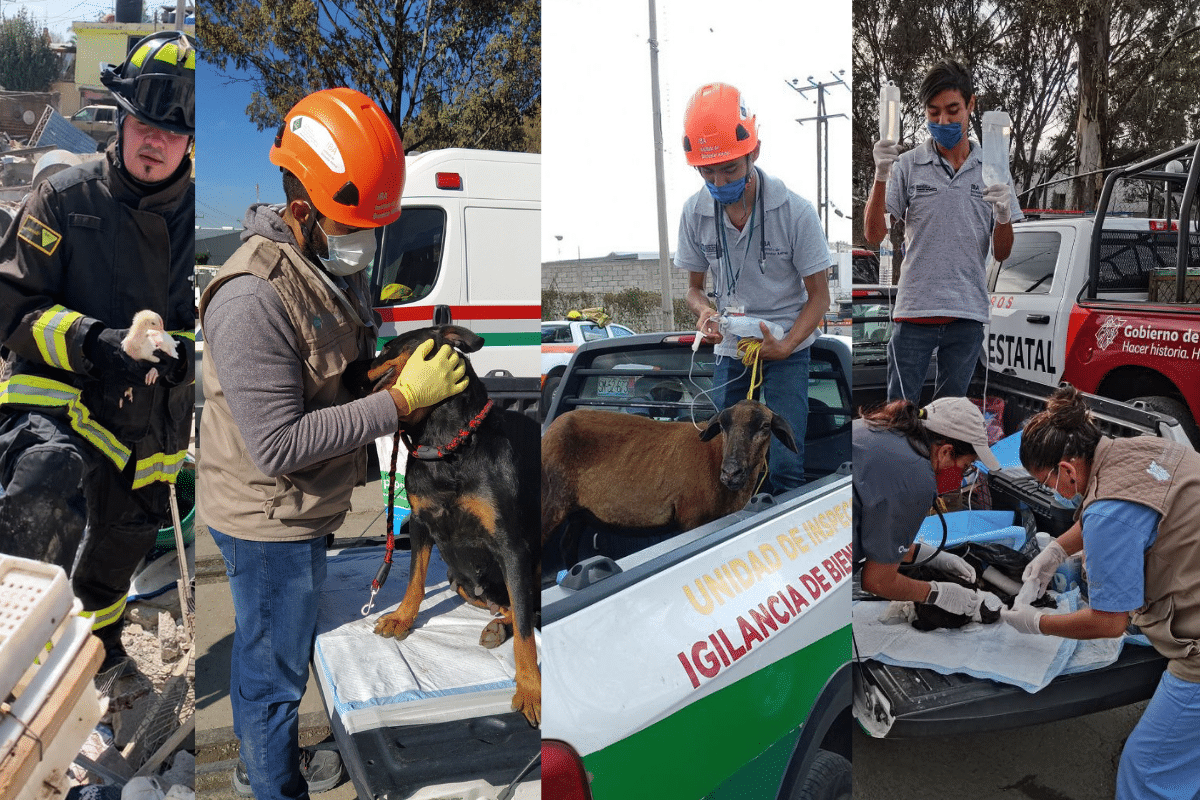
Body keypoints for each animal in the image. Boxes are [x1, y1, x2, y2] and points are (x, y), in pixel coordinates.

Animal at [350, 326, 542, 724]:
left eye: (387, 348)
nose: (346, 371)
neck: (443, 445)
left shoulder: (511, 545)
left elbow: (526, 632)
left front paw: (531, 688)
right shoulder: (420, 523)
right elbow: (415, 580)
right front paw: (402, 618)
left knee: (527, 611)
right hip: (460, 581)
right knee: (511, 608)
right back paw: (495, 625)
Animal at [544, 400, 796, 563]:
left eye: (765, 426)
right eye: (723, 426)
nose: (731, 473)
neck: (716, 455)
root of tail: (552, 429)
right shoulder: (693, 518)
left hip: (578, 512)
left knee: (567, 546)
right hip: (549, 502)